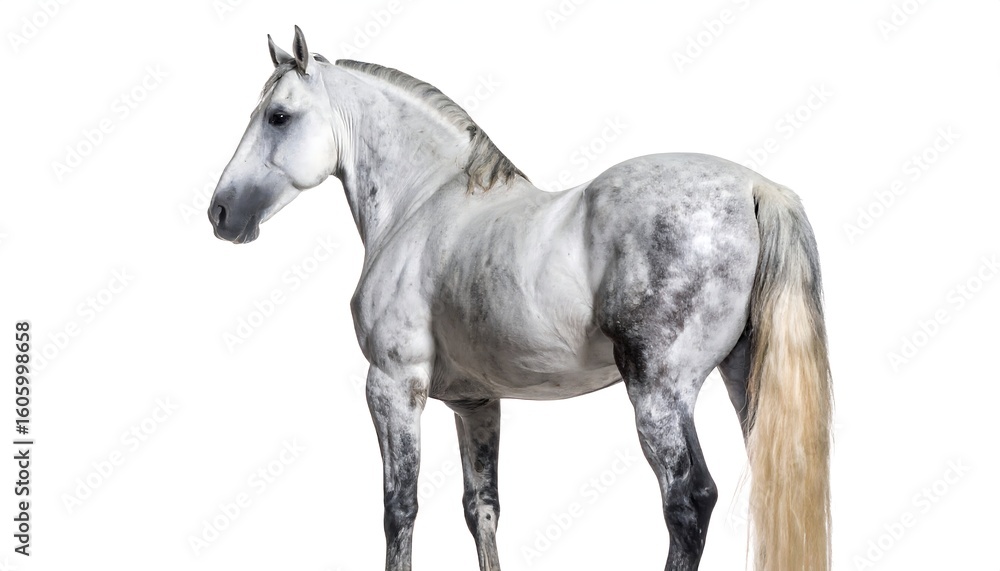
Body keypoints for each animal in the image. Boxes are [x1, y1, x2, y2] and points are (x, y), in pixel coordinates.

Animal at [208, 26, 832, 571]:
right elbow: (481, 508)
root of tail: (755, 187)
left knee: (688, 500)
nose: (221, 212)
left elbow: (399, 508)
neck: (423, 205)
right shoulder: (476, 404)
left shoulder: (392, 387)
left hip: (660, 391)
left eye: (278, 116)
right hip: (745, 378)